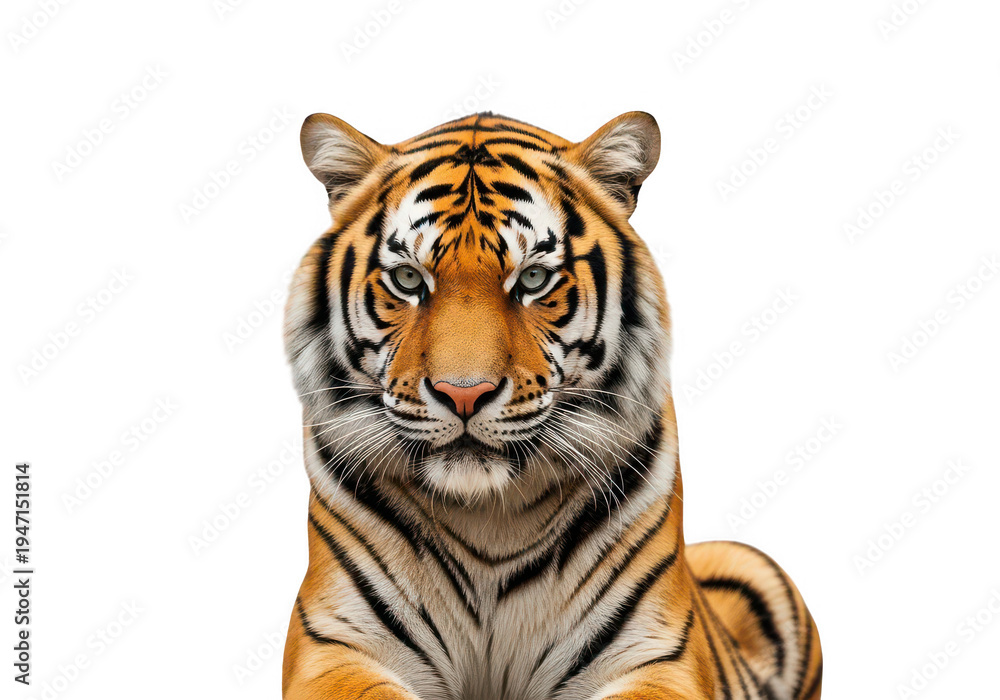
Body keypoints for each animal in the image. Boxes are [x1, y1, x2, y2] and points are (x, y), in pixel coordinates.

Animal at [280, 110, 822, 700]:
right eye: (407, 279)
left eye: (534, 279)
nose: (463, 393)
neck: (488, 517)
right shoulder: (334, 641)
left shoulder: (657, 654)